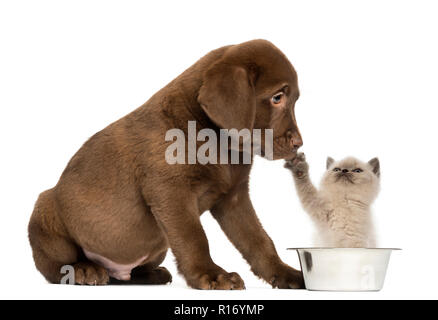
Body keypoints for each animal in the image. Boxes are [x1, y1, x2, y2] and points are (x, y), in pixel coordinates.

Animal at [28, 38, 304, 288]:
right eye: (277, 98)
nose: (299, 143)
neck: (219, 144)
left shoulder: (233, 197)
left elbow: (258, 240)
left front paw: (285, 273)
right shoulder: (171, 194)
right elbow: (194, 238)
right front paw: (213, 275)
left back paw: (152, 275)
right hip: (45, 207)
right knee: (51, 266)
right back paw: (83, 270)